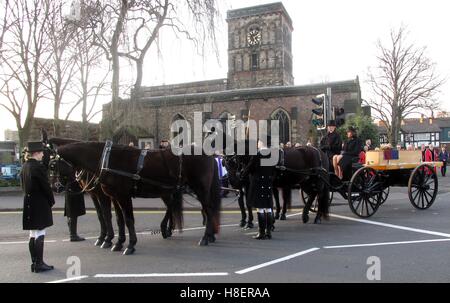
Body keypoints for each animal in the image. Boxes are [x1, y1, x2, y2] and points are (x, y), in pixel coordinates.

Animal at [47, 141, 221, 255]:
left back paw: (205, 237)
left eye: (52, 165)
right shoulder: (114, 196)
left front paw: (129, 245)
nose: (55, 187)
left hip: (200, 188)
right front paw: (117, 243)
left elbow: (128, 219)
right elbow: (118, 219)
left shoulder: (123, 196)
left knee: (208, 209)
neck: (107, 159)